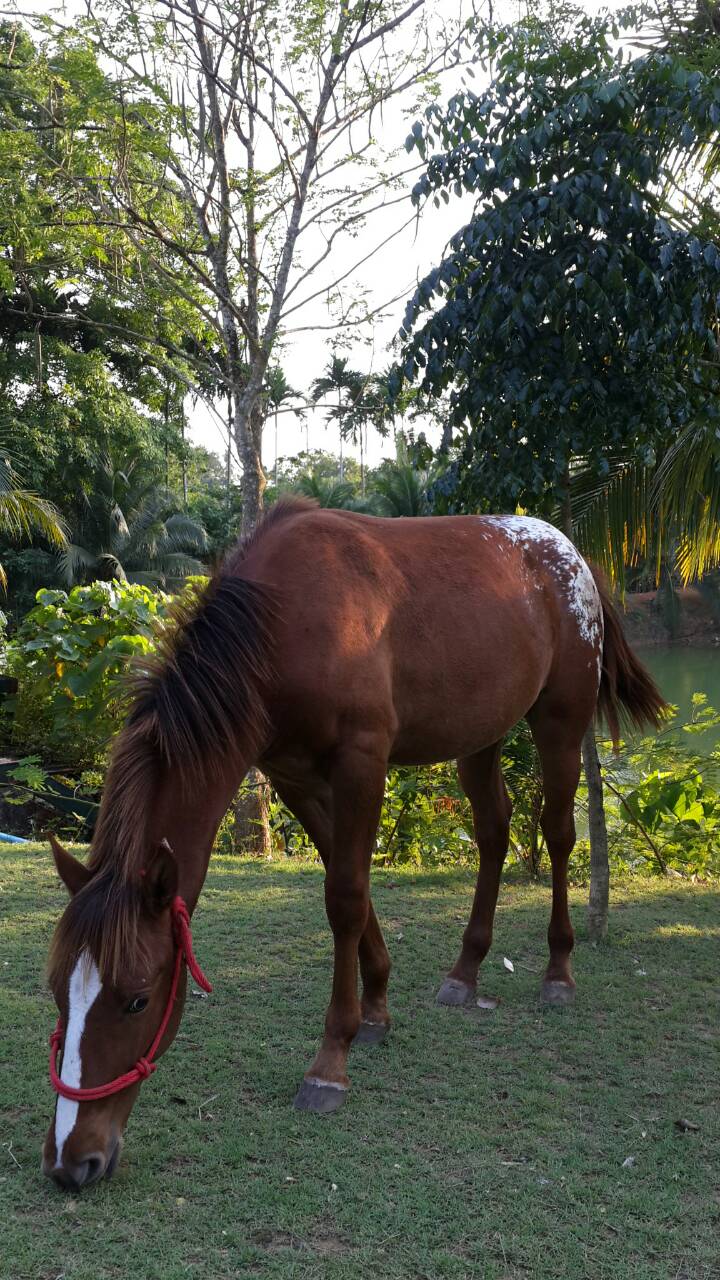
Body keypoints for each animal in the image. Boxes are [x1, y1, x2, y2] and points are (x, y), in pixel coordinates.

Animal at [42, 498, 665, 1189]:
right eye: (59, 992)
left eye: (137, 1000)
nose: (71, 1160)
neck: (284, 624)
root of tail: (569, 552)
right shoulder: (294, 776)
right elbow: (352, 890)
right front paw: (377, 1008)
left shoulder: (363, 762)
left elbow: (343, 897)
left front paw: (330, 1060)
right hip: (480, 736)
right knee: (494, 833)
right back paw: (466, 970)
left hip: (560, 723)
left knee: (556, 834)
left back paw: (559, 971)